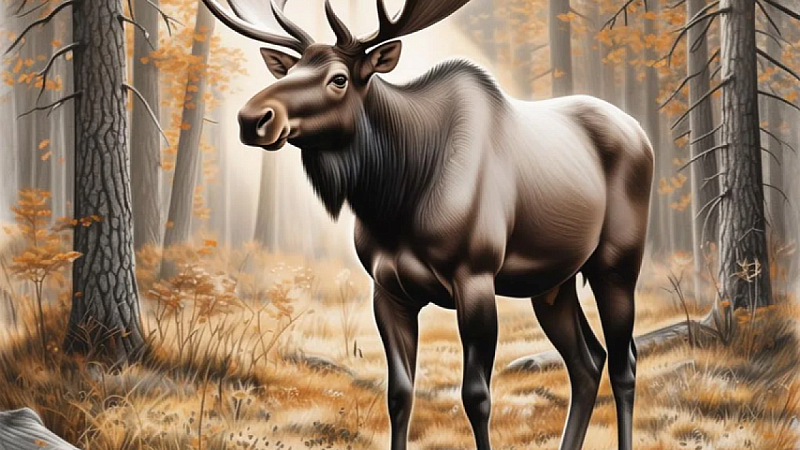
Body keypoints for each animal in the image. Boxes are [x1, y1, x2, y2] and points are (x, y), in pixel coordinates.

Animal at [201, 0, 654, 449]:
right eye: (288, 72)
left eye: (339, 79)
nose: (253, 118)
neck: (396, 201)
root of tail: (641, 133)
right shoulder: (387, 289)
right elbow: (399, 394)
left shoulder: (475, 277)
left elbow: (477, 396)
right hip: (552, 283)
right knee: (587, 361)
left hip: (617, 263)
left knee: (624, 362)